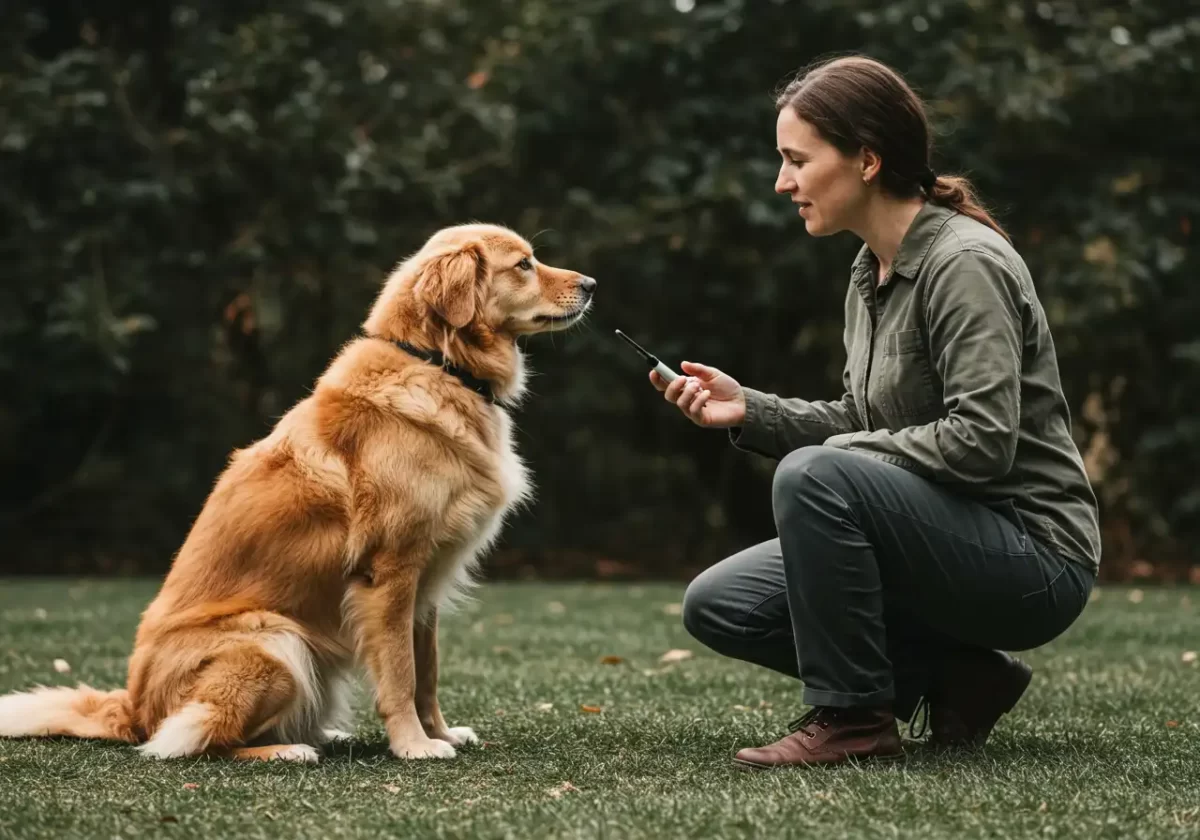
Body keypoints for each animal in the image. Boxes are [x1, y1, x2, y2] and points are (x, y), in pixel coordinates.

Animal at [0, 223, 597, 763]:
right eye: (524, 264)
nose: (591, 283)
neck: (436, 364)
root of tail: (132, 708)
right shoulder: (390, 573)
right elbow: (401, 674)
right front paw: (414, 747)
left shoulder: (426, 582)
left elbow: (427, 674)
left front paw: (442, 734)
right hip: (275, 641)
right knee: (192, 740)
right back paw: (287, 750)